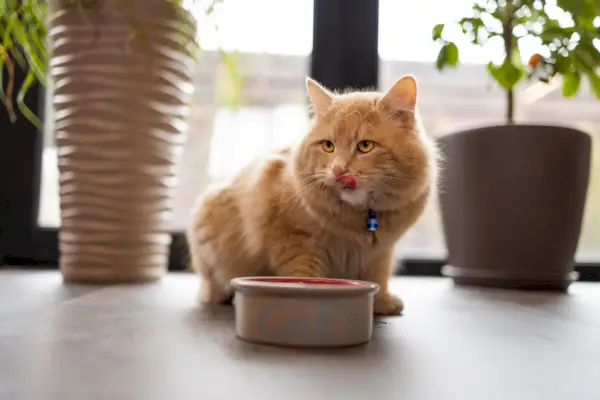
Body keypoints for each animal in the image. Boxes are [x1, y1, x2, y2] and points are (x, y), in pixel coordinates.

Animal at [190, 76, 438, 316]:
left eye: (365, 146)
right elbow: (304, 274)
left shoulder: (380, 252)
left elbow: (378, 277)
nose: (338, 170)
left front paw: (382, 303)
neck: (357, 221)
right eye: (328, 146)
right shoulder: (294, 241)